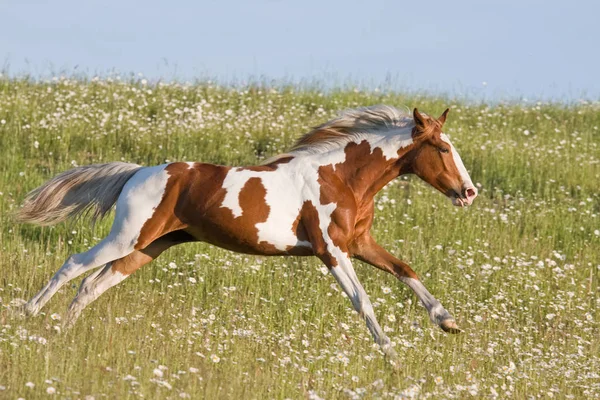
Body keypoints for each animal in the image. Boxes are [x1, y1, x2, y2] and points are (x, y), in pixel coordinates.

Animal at [16, 105, 478, 356]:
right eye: (442, 148)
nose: (469, 192)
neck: (340, 178)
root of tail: (137, 173)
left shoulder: (360, 243)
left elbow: (406, 270)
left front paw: (449, 322)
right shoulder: (331, 251)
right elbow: (363, 302)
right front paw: (392, 356)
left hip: (148, 247)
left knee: (92, 285)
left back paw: (62, 333)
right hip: (128, 237)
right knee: (74, 265)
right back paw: (29, 315)